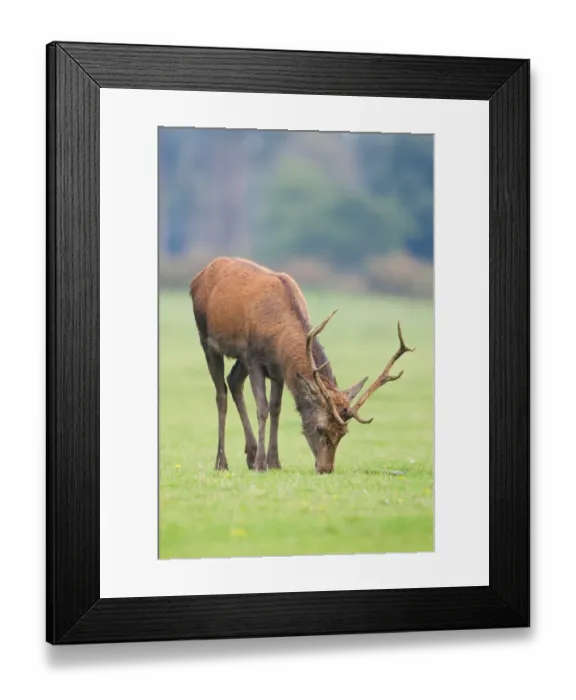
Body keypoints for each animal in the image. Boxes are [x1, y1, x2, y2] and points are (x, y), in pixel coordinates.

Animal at [189, 256, 415, 474]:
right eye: (320, 428)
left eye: (343, 433)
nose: (326, 469)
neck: (277, 332)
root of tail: (196, 278)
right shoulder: (254, 359)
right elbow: (262, 409)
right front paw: (262, 465)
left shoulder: (278, 370)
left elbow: (276, 409)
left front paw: (274, 462)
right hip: (207, 340)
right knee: (221, 394)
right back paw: (222, 463)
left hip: (239, 358)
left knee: (233, 381)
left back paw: (250, 456)